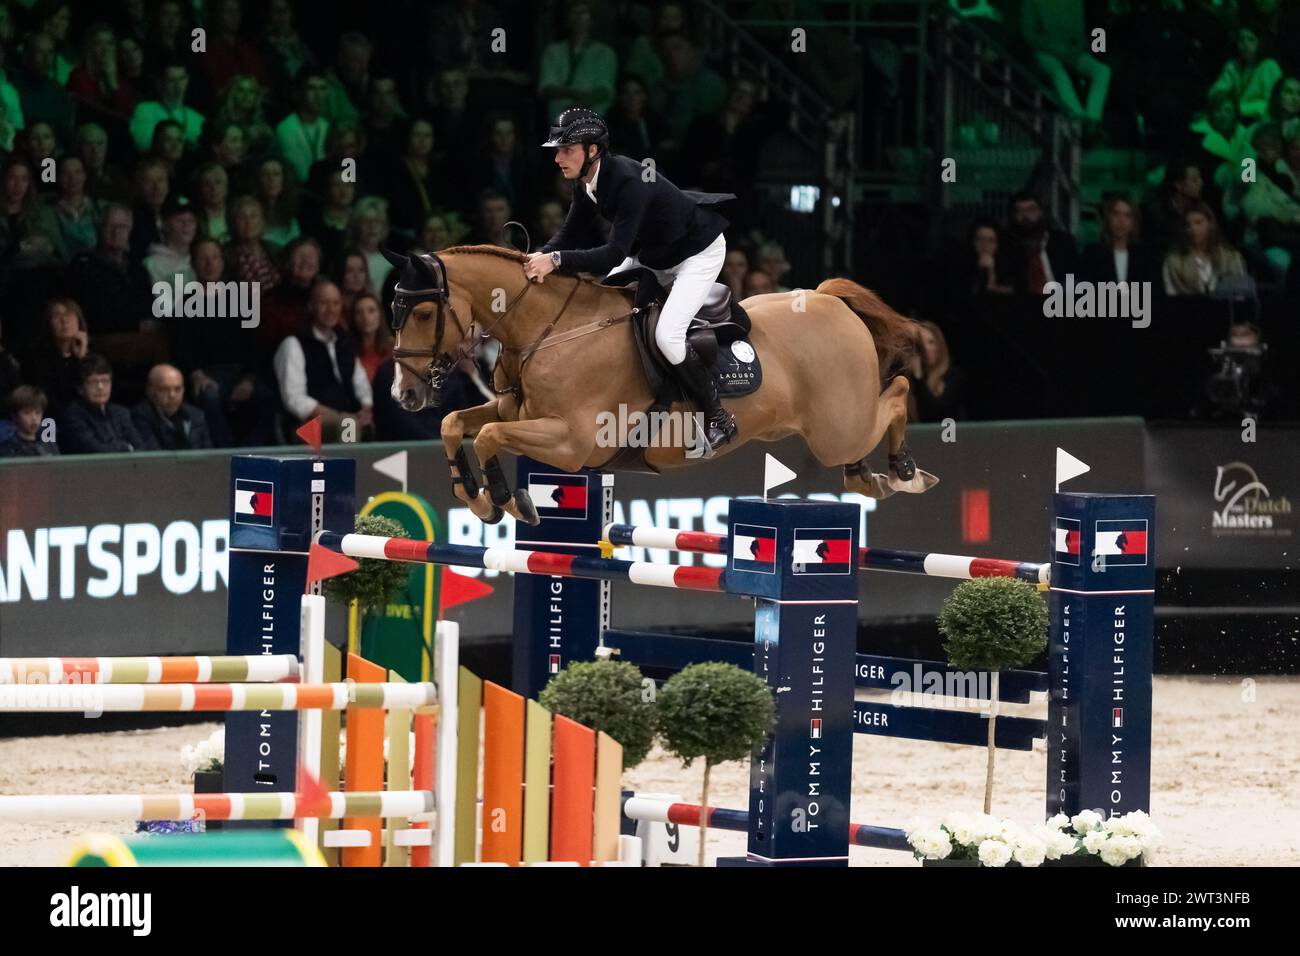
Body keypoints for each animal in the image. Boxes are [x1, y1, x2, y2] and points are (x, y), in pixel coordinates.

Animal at [379, 247, 941, 528]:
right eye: (394, 311)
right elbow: (457, 423)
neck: (550, 329)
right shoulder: (516, 411)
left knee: (897, 390)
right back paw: (870, 476)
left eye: (423, 313)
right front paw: (474, 498)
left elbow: (488, 435)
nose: (403, 396)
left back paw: (904, 471)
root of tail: (829, 301)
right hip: (835, 429)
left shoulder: (573, 442)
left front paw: (507, 500)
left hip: (836, 428)